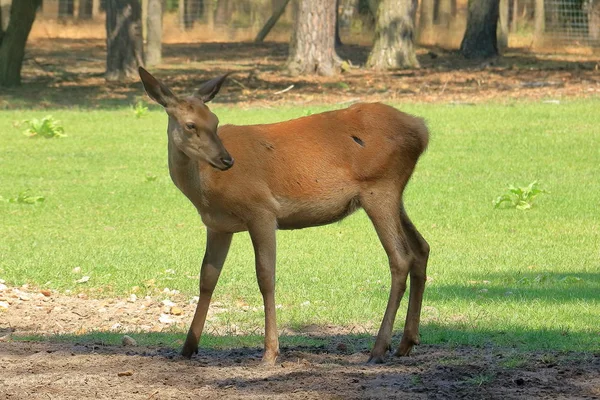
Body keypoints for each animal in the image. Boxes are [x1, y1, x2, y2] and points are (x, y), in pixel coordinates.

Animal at [139, 68, 432, 366]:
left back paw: (379, 347)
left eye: (215, 120)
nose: (226, 160)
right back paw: (407, 342)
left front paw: (270, 351)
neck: (205, 190)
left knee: (401, 257)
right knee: (421, 247)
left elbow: (265, 276)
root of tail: (423, 130)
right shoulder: (218, 225)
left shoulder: (261, 210)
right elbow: (207, 278)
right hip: (395, 194)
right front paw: (188, 346)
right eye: (190, 125)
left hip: (380, 187)